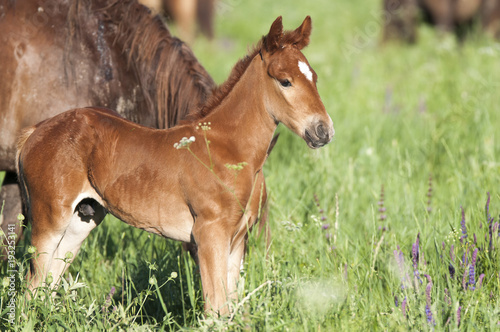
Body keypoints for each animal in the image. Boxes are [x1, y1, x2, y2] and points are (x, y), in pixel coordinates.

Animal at [16, 16, 336, 316]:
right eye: (285, 81)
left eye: (315, 78)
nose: (324, 130)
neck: (227, 148)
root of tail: (36, 130)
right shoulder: (209, 234)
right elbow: (216, 309)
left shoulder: (237, 240)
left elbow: (230, 307)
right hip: (49, 219)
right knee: (32, 286)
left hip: (82, 219)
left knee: (49, 282)